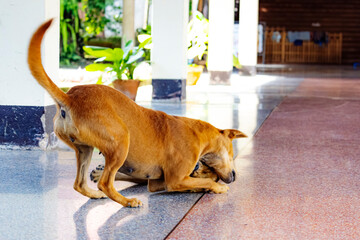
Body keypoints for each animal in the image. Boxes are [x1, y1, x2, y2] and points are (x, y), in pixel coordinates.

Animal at [28, 20, 248, 208]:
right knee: (105, 183)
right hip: (121, 140)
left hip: (84, 149)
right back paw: (127, 201)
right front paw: (217, 187)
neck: (200, 135)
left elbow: (195, 183)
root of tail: (70, 97)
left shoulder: (159, 182)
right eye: (231, 153)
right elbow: (203, 183)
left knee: (79, 184)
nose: (234, 177)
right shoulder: (175, 180)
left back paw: (95, 193)